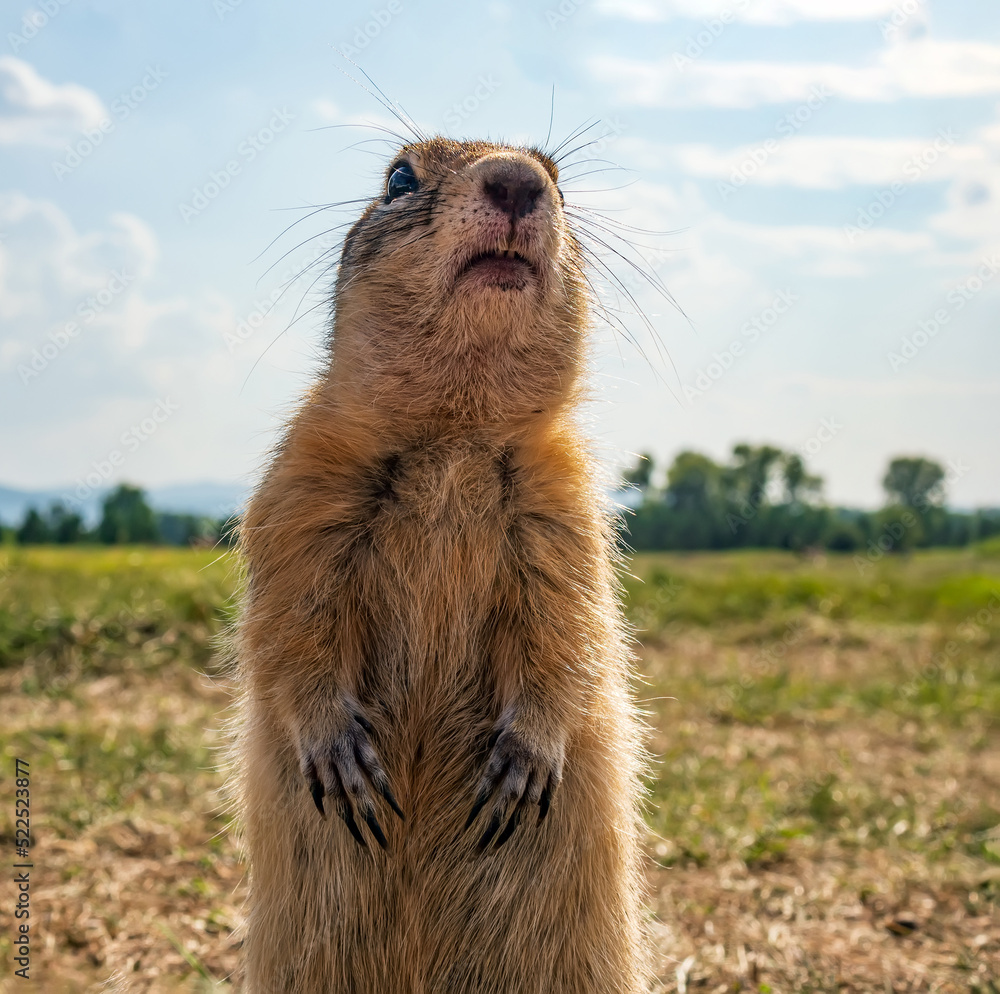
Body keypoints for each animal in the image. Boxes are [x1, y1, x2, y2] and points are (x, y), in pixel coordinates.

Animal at [233, 134, 644, 992]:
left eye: (560, 180)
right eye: (398, 178)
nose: (518, 181)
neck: (453, 436)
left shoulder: (564, 505)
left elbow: (571, 625)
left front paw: (524, 762)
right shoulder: (302, 482)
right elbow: (290, 615)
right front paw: (340, 756)